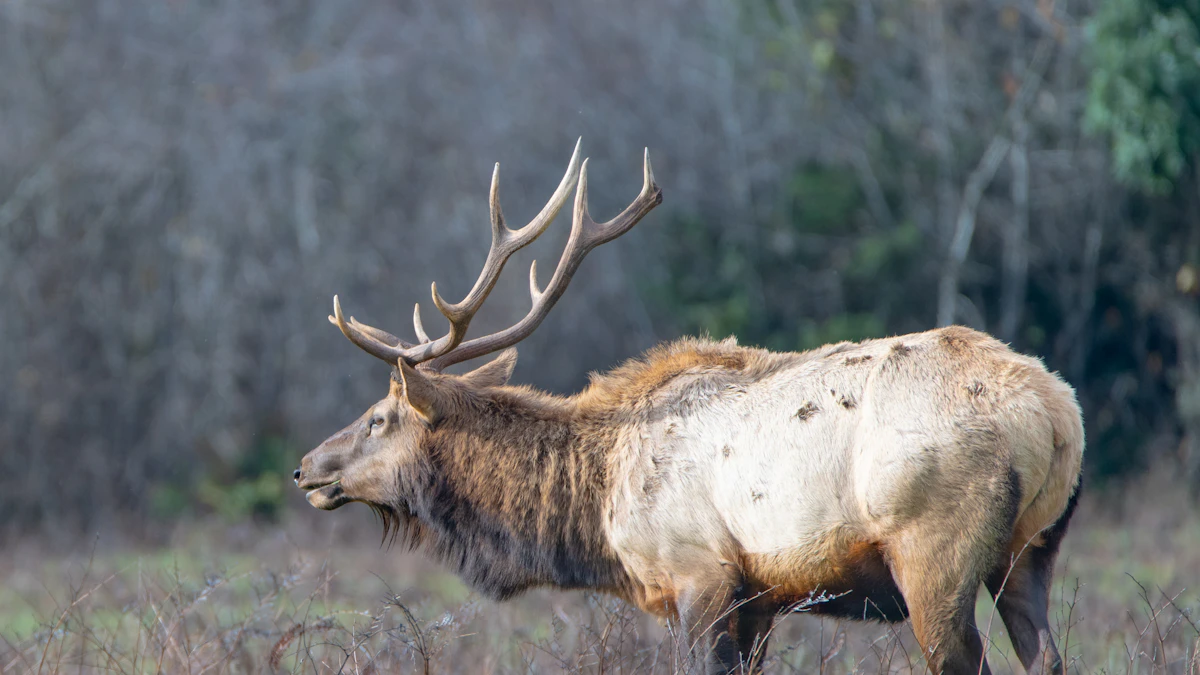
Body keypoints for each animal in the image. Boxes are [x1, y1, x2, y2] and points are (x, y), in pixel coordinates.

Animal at [294, 140, 1084, 675]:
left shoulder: (700, 574)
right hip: (1032, 549)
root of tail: (1054, 412)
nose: (306, 468)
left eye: (378, 418)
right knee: (1045, 655)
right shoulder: (761, 599)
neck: (596, 512)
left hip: (933, 550)